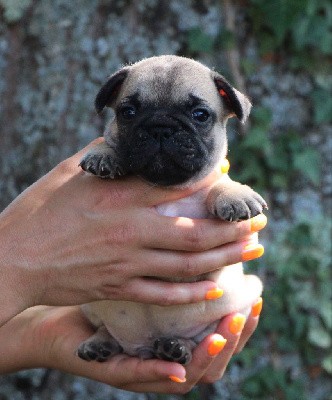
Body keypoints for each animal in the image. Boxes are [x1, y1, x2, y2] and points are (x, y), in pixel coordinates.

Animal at [78, 56, 268, 366]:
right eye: (127, 112)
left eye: (200, 115)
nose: (160, 127)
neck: (164, 185)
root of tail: (142, 347)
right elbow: (108, 142)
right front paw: (104, 153)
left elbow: (219, 184)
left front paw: (235, 194)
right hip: (88, 305)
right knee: (104, 328)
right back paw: (99, 343)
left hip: (247, 291)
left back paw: (176, 347)